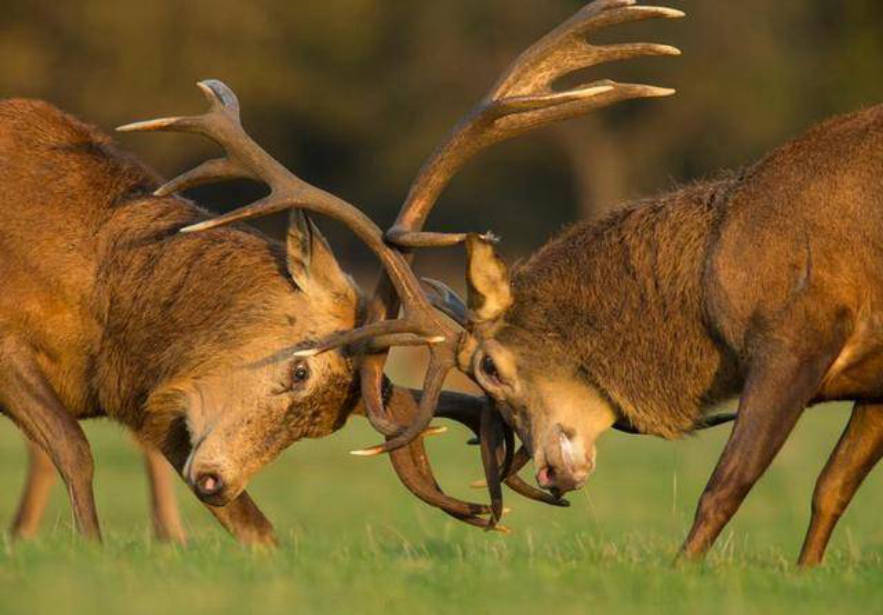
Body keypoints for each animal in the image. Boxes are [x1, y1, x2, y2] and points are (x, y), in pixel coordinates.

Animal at [172, 0, 882, 566]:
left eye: (487, 364)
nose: (550, 472)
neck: (718, 281)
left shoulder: (796, 334)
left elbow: (726, 485)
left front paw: (682, 573)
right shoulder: (868, 381)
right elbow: (830, 490)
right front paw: (805, 576)